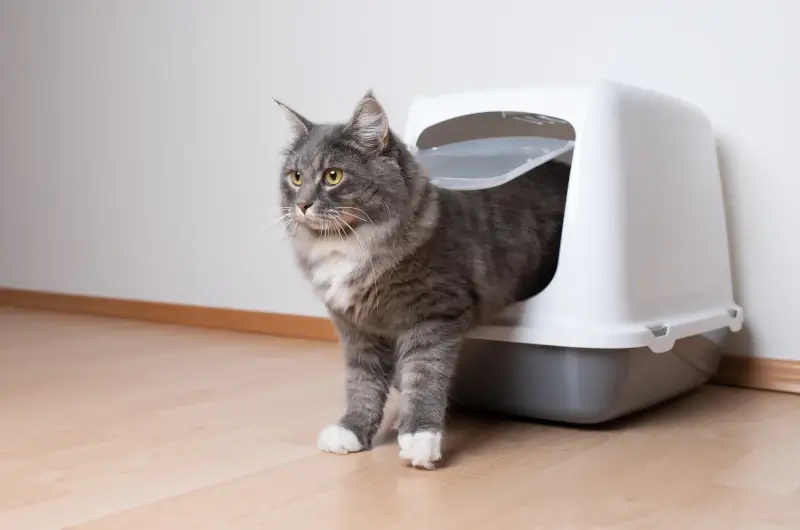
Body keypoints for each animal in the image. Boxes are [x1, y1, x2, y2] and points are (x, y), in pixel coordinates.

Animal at [276, 92, 568, 470]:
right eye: (296, 177)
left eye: (333, 176)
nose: (302, 205)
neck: (348, 244)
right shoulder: (357, 329)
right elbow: (361, 383)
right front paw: (353, 430)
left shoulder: (433, 316)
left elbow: (424, 378)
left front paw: (419, 438)